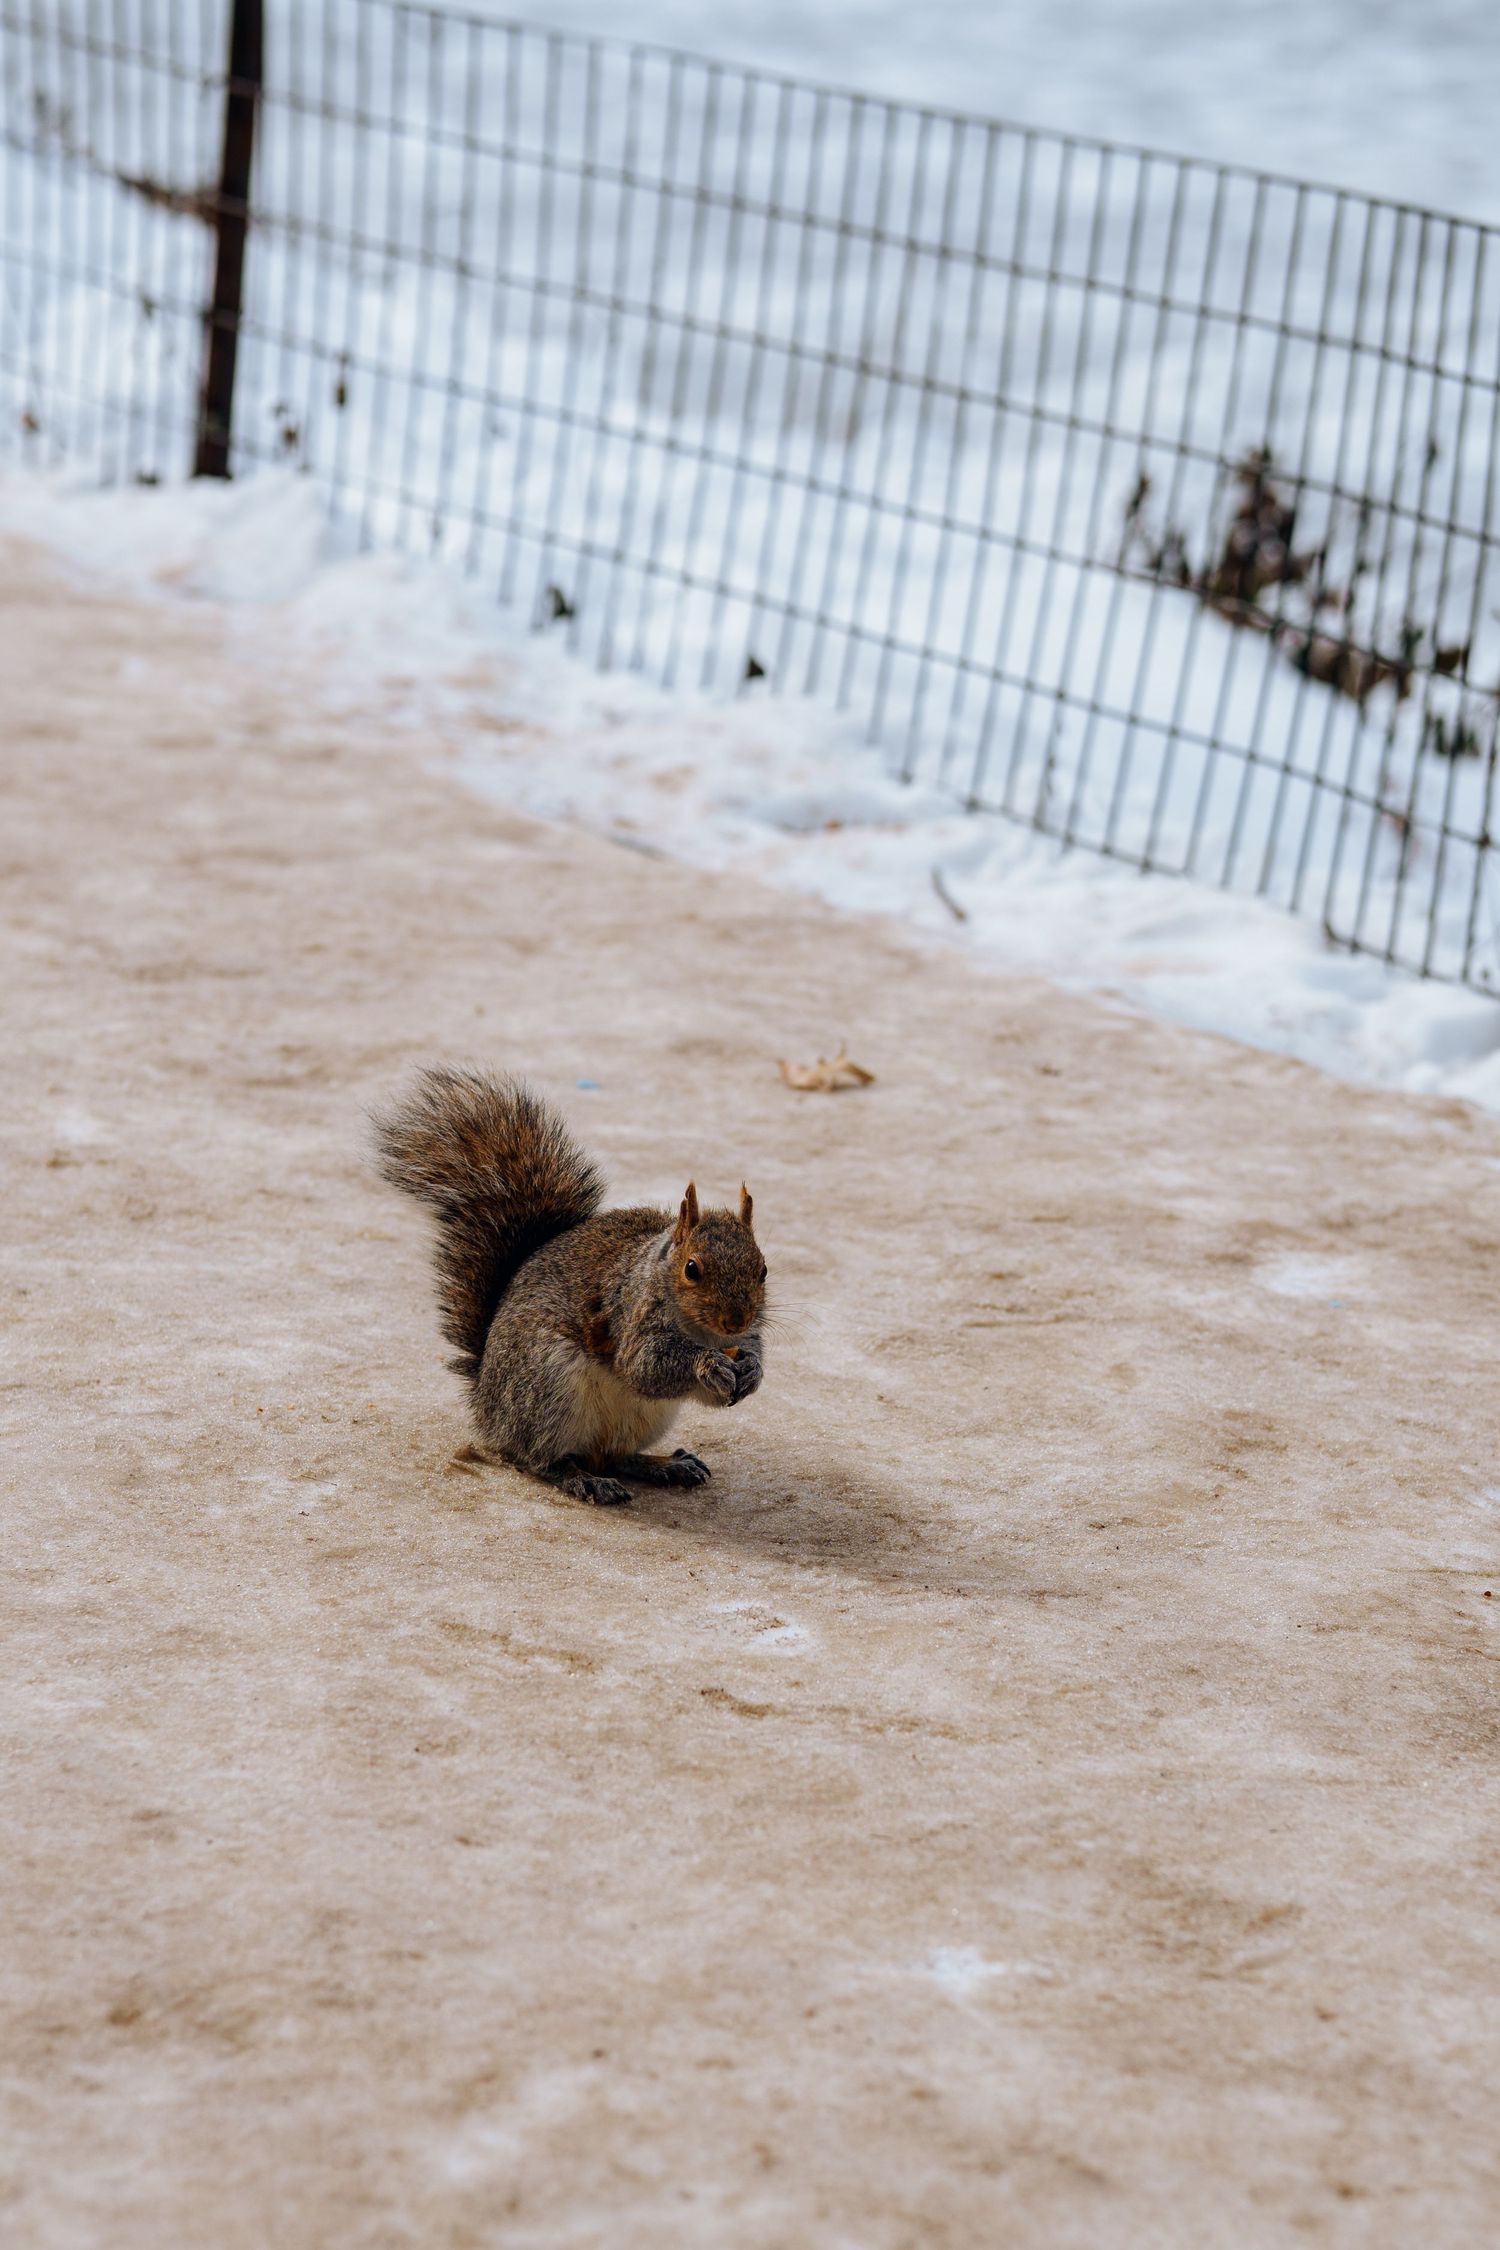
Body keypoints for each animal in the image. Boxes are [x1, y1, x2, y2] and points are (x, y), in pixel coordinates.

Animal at [374, 1067, 766, 1506]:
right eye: (692, 1269)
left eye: (764, 1269)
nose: (735, 1321)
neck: (702, 1332)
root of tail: (486, 1404)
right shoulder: (630, 1315)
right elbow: (644, 1366)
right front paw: (708, 1364)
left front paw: (752, 1370)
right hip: (549, 1391)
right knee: (539, 1459)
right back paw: (584, 1479)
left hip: (642, 1417)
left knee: (615, 1457)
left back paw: (664, 1465)